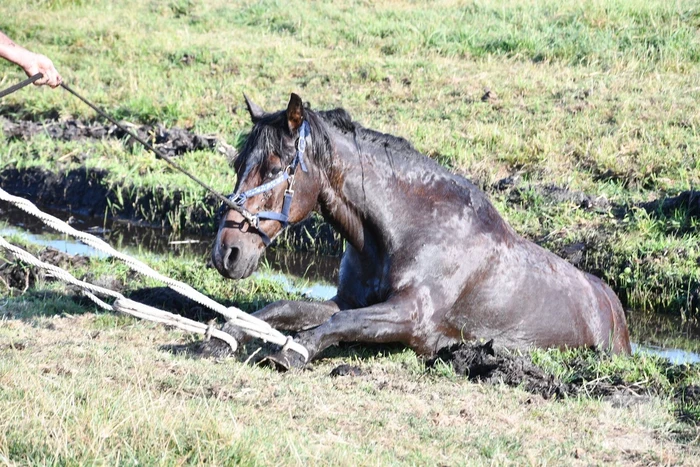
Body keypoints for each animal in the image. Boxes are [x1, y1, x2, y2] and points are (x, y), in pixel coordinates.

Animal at [211, 93, 631, 370]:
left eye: (273, 167)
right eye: (237, 164)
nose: (226, 253)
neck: (406, 228)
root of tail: (614, 309)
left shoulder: (411, 315)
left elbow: (338, 324)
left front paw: (291, 352)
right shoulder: (347, 300)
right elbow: (284, 309)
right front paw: (224, 336)